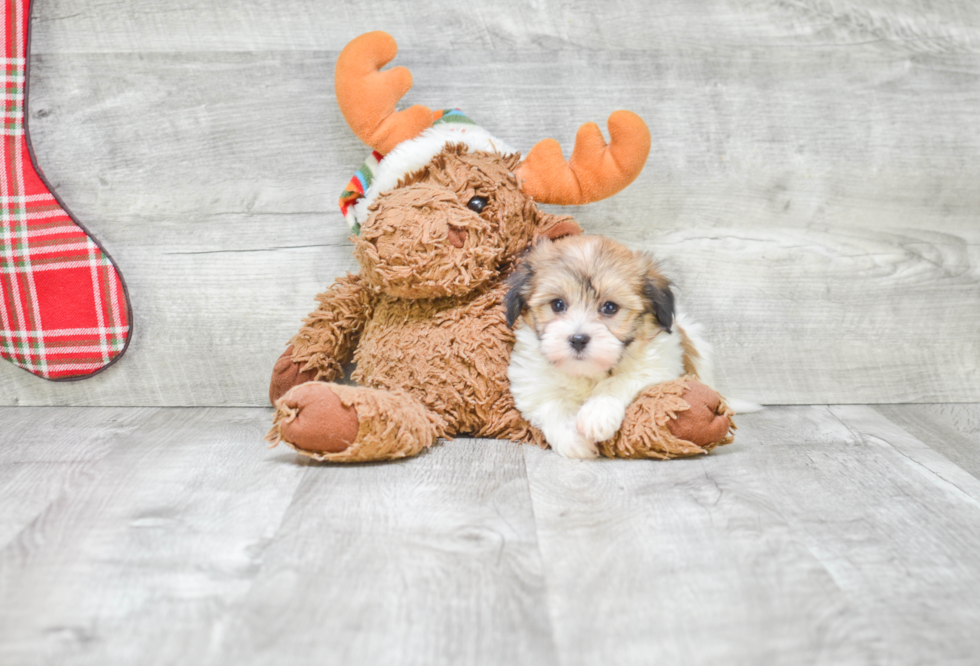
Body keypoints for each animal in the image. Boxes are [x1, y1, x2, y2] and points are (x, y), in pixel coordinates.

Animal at [506, 236, 712, 460]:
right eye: (558, 304)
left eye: (610, 307)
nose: (578, 339)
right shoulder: (530, 379)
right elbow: (550, 401)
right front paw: (572, 439)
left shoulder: (660, 364)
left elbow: (619, 380)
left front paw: (596, 414)